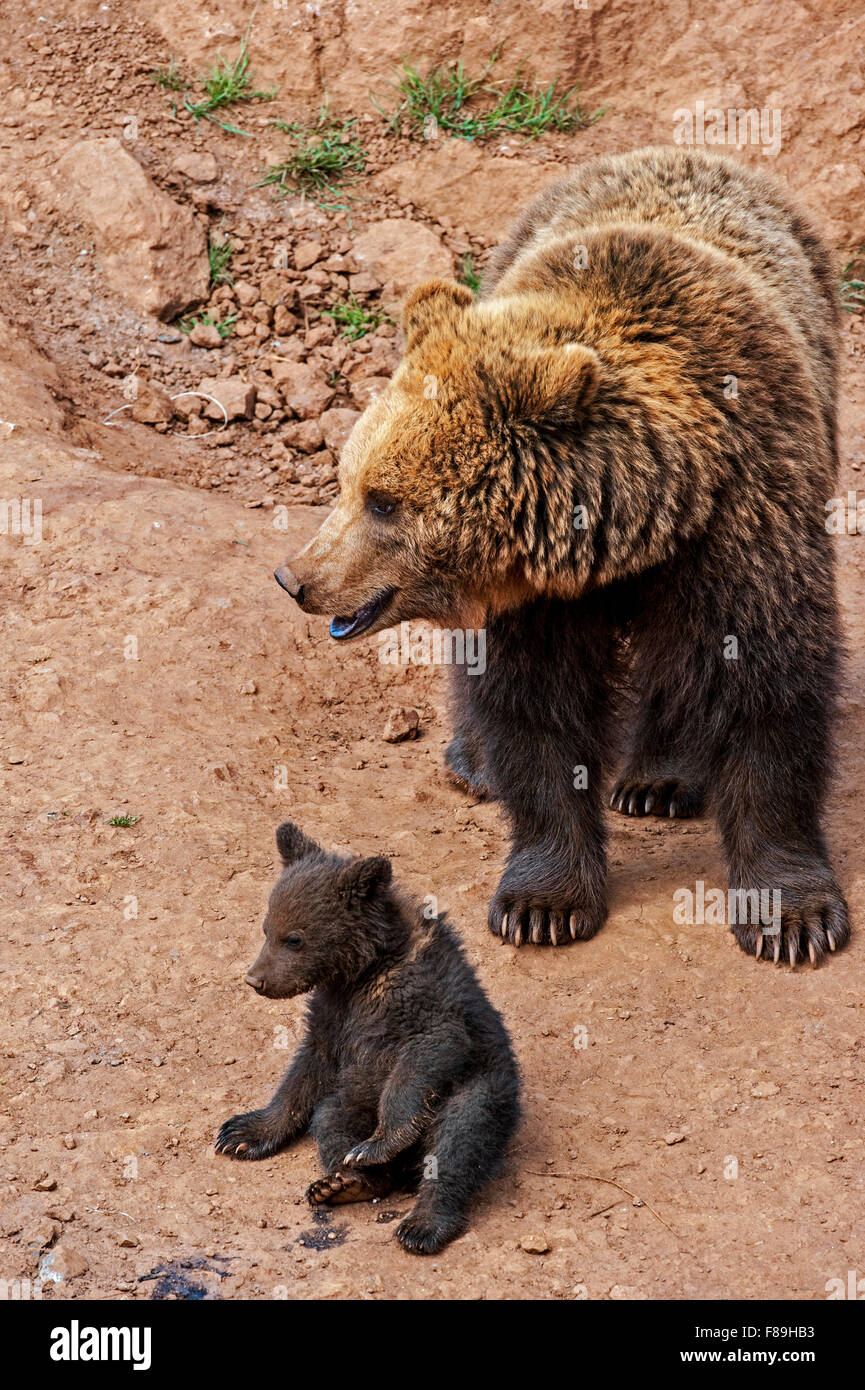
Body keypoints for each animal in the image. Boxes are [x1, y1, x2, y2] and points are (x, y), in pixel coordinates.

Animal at [215, 821, 521, 1255]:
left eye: (294, 938)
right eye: (266, 927)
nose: (256, 979)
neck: (364, 968)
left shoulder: (419, 997)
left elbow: (429, 1052)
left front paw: (382, 1141)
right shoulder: (334, 1012)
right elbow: (307, 1070)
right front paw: (242, 1132)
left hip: (484, 1089)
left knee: (460, 1138)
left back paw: (422, 1222)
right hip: (354, 1098)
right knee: (332, 1118)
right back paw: (347, 1182)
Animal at [274, 146, 849, 970]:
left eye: (383, 500)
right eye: (347, 479)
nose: (298, 578)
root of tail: (678, 151)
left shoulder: (744, 516)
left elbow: (765, 681)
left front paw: (792, 916)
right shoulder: (531, 601)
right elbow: (533, 710)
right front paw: (541, 903)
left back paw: (658, 778)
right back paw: (472, 760)